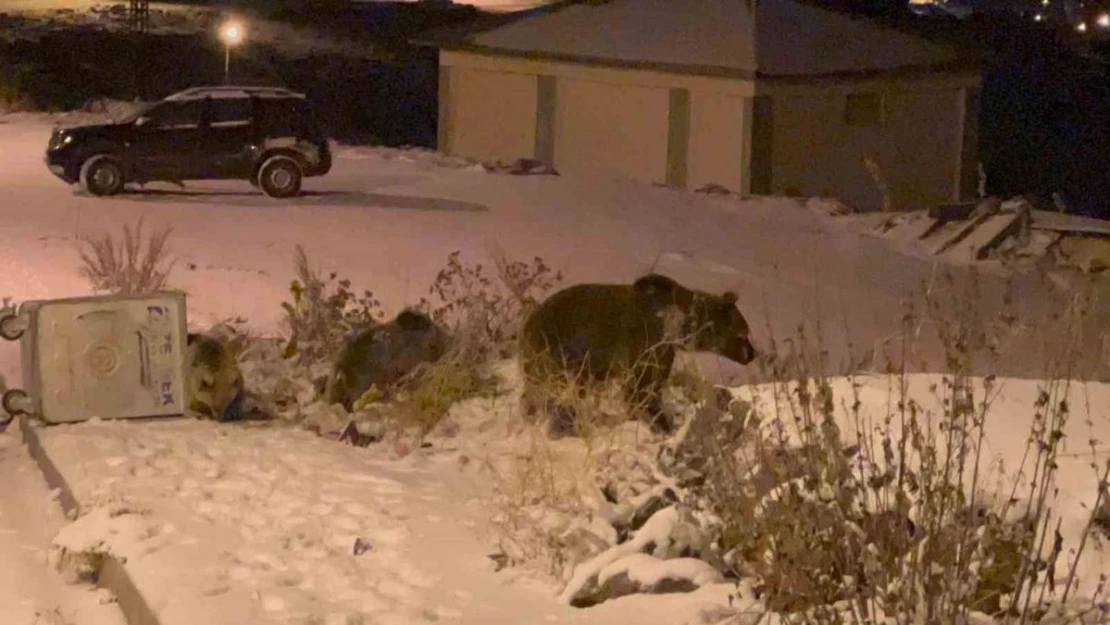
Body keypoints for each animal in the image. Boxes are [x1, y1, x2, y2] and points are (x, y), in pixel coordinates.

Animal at [517, 271, 754, 437]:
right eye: (743, 334)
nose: (751, 354)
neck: (679, 328)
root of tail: (528, 324)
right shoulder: (648, 346)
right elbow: (642, 389)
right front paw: (659, 423)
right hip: (561, 350)